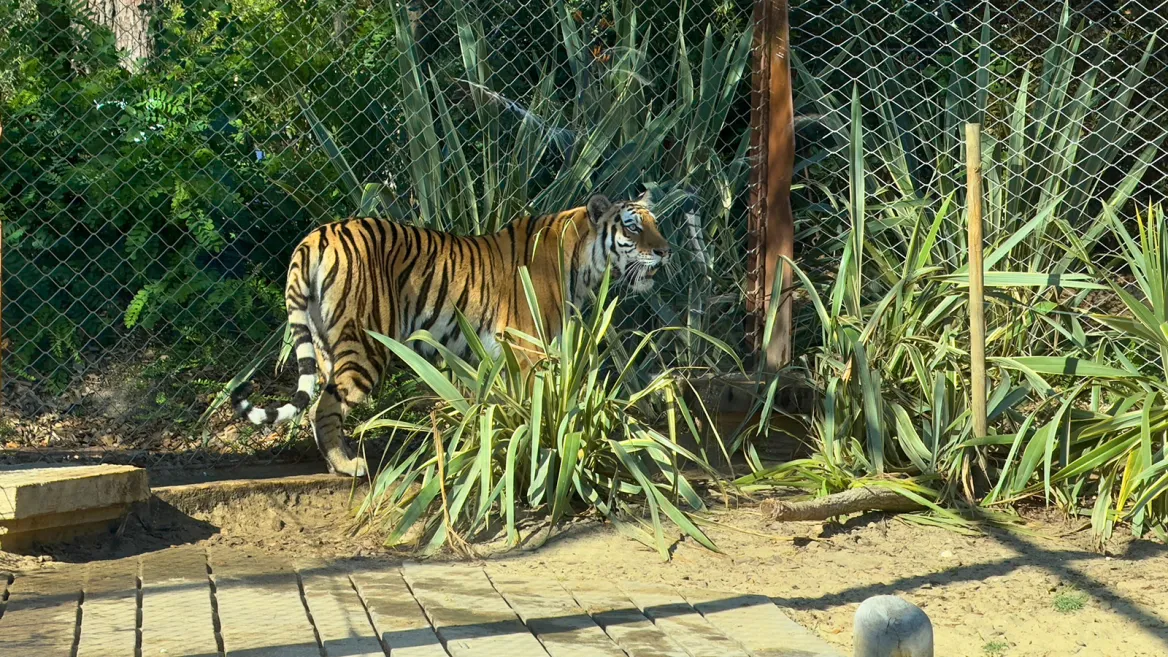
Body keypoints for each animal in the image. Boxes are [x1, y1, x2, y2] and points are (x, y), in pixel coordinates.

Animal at [231, 192, 672, 477]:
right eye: (633, 228)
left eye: (657, 225)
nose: (666, 251)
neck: (583, 264)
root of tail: (314, 236)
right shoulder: (528, 349)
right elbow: (535, 407)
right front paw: (535, 454)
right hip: (365, 346)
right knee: (324, 407)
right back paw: (348, 466)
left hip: (324, 343)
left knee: (320, 404)